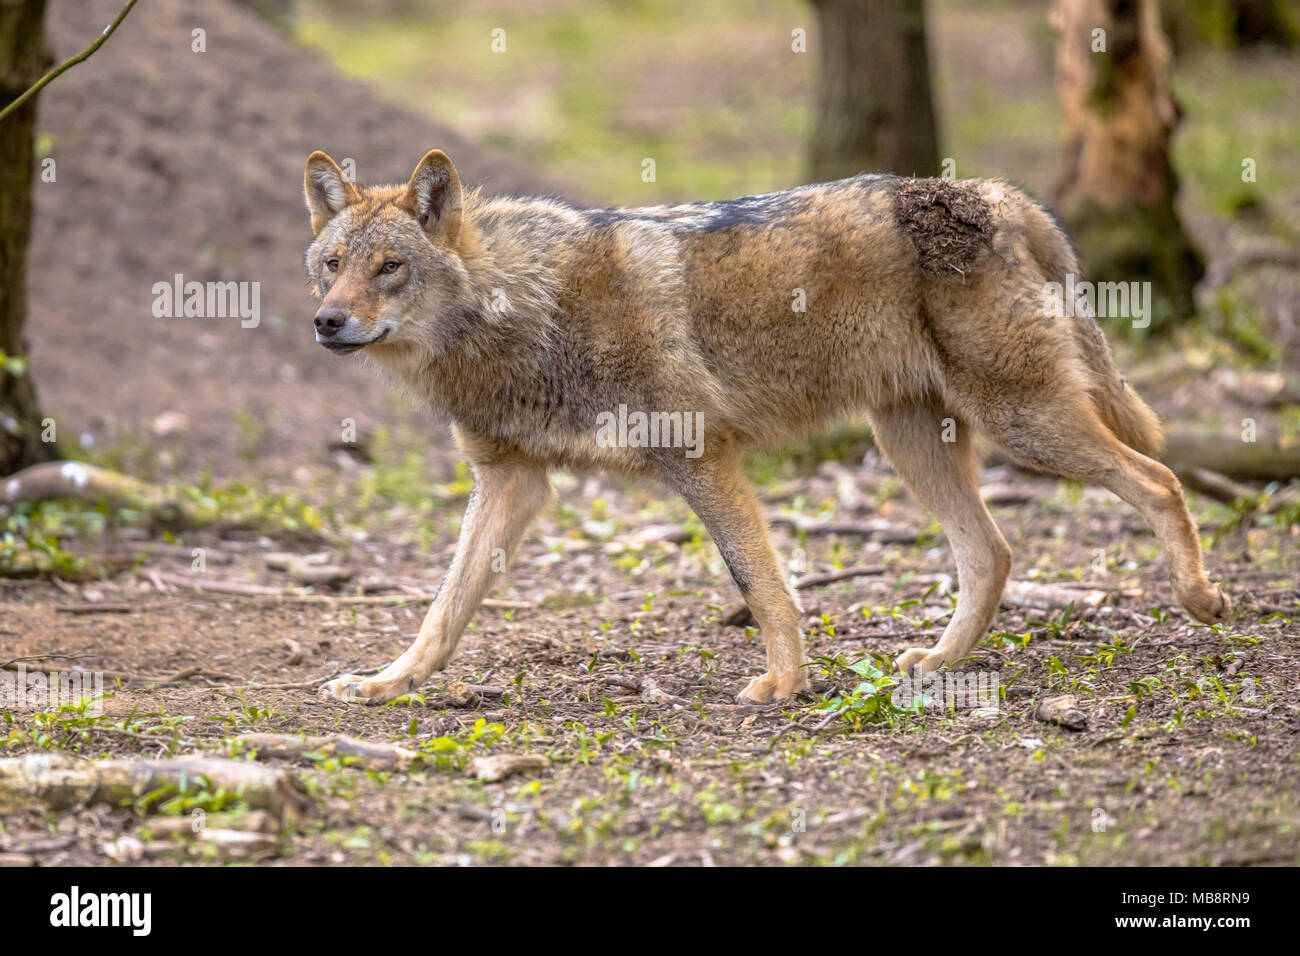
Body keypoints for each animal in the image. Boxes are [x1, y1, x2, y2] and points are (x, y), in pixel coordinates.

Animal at [303, 149, 1228, 705]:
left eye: (391, 268)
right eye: (332, 265)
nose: (326, 322)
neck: (520, 313)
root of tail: (994, 194)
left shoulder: (700, 457)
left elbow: (761, 583)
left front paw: (783, 684)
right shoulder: (511, 481)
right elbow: (442, 609)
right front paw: (388, 683)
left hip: (1024, 424)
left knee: (1160, 479)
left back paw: (1199, 598)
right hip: (914, 445)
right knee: (993, 553)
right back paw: (939, 664)